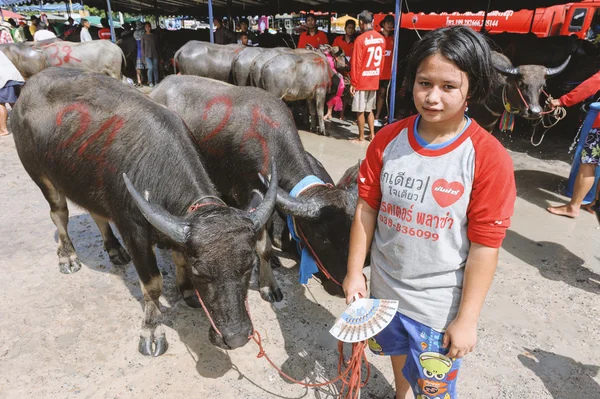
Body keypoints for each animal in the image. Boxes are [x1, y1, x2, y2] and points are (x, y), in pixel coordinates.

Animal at [11, 68, 278, 356]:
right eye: (201, 273)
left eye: (248, 266)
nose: (236, 337)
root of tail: (28, 88)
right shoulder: (134, 231)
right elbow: (152, 284)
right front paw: (152, 331)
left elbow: (179, 257)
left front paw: (187, 292)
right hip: (40, 175)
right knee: (58, 214)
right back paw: (68, 257)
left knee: (97, 214)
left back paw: (115, 251)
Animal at [151, 75, 356, 296]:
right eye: (321, 236)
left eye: (350, 233)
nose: (341, 287)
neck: (269, 141)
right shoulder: (246, 193)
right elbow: (263, 247)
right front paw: (269, 285)